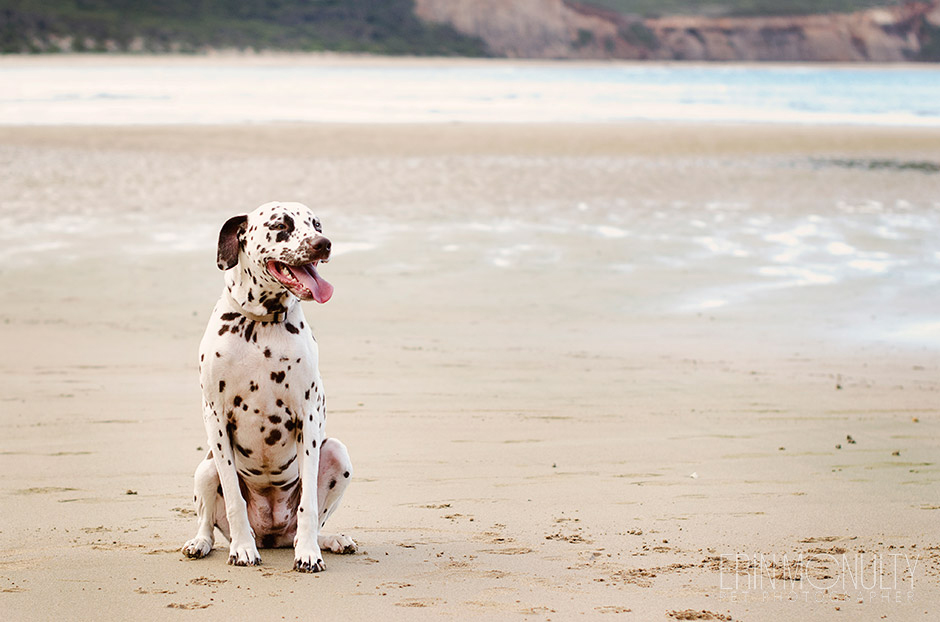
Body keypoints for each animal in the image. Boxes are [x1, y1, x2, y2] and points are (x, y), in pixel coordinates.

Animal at [183, 202, 356, 572]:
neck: (260, 327)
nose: (323, 244)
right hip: (206, 467)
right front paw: (242, 549)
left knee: (313, 522)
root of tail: (272, 533)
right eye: (280, 226)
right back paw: (201, 542)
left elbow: (308, 507)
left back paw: (328, 540)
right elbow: (234, 501)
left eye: (317, 224)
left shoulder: (308, 418)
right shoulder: (215, 419)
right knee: (207, 522)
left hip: (337, 453)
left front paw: (309, 552)